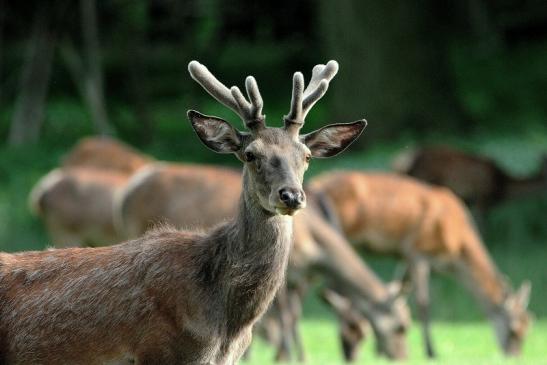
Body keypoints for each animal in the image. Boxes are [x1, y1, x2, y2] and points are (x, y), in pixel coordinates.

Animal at [116, 164, 416, 360]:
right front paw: (280, 356)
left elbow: (294, 316)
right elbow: (284, 316)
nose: (401, 357)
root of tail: (128, 192)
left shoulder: (301, 278)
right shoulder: (286, 272)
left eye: (361, 333)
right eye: (401, 327)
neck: (316, 248)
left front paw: (296, 356)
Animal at [310, 171, 532, 356]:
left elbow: (398, 291)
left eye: (527, 328)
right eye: (514, 330)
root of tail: (315, 183)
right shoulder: (418, 251)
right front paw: (431, 351)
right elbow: (423, 302)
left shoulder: (406, 257)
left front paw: (381, 348)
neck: (455, 245)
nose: (514, 356)